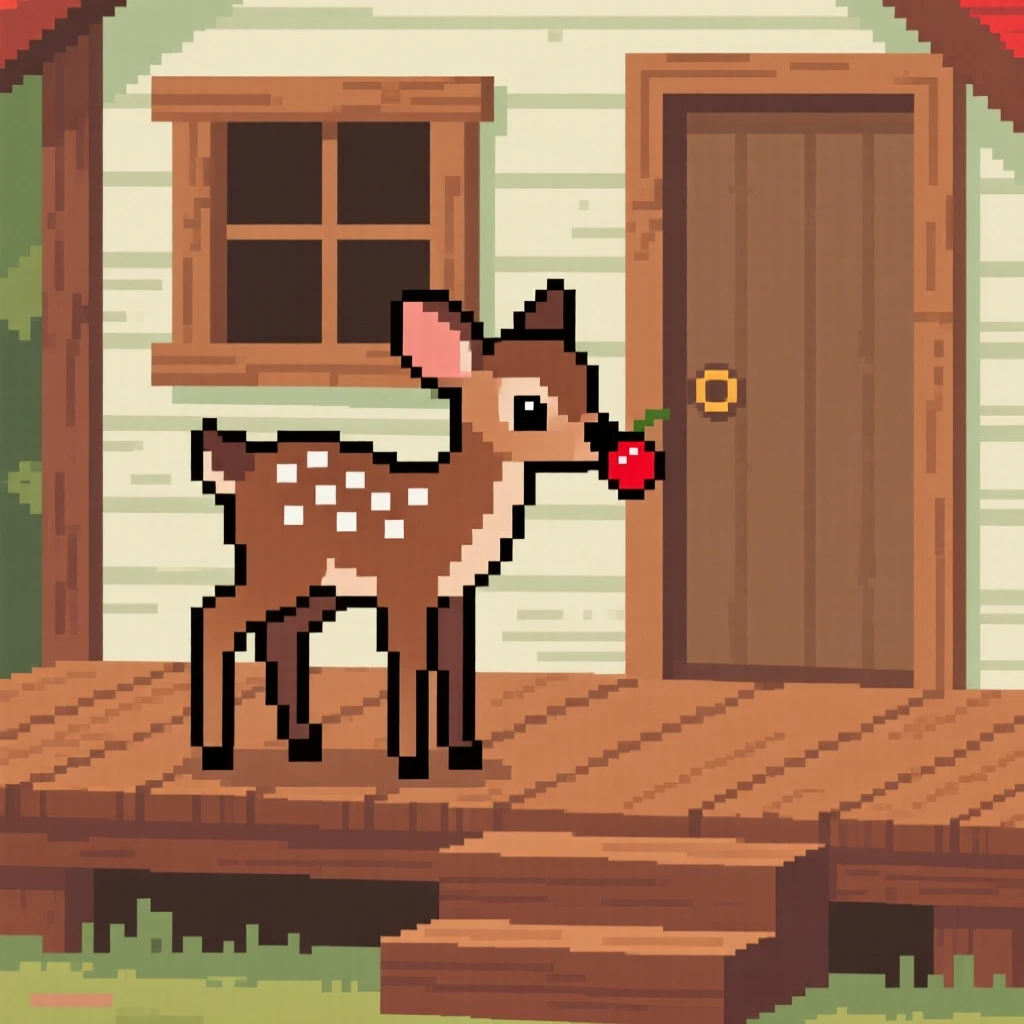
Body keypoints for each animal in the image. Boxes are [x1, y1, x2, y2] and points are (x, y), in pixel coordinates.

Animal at [191, 280, 663, 780]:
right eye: (530, 406)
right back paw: (216, 752)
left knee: (278, 634)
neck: (449, 514)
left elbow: (455, 664)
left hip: (318, 583)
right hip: (280, 564)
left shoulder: (454, 593)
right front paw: (412, 762)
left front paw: (464, 753)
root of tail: (241, 471)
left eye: (587, 380)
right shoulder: (407, 588)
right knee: (214, 616)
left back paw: (303, 742)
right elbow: (412, 665)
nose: (606, 441)